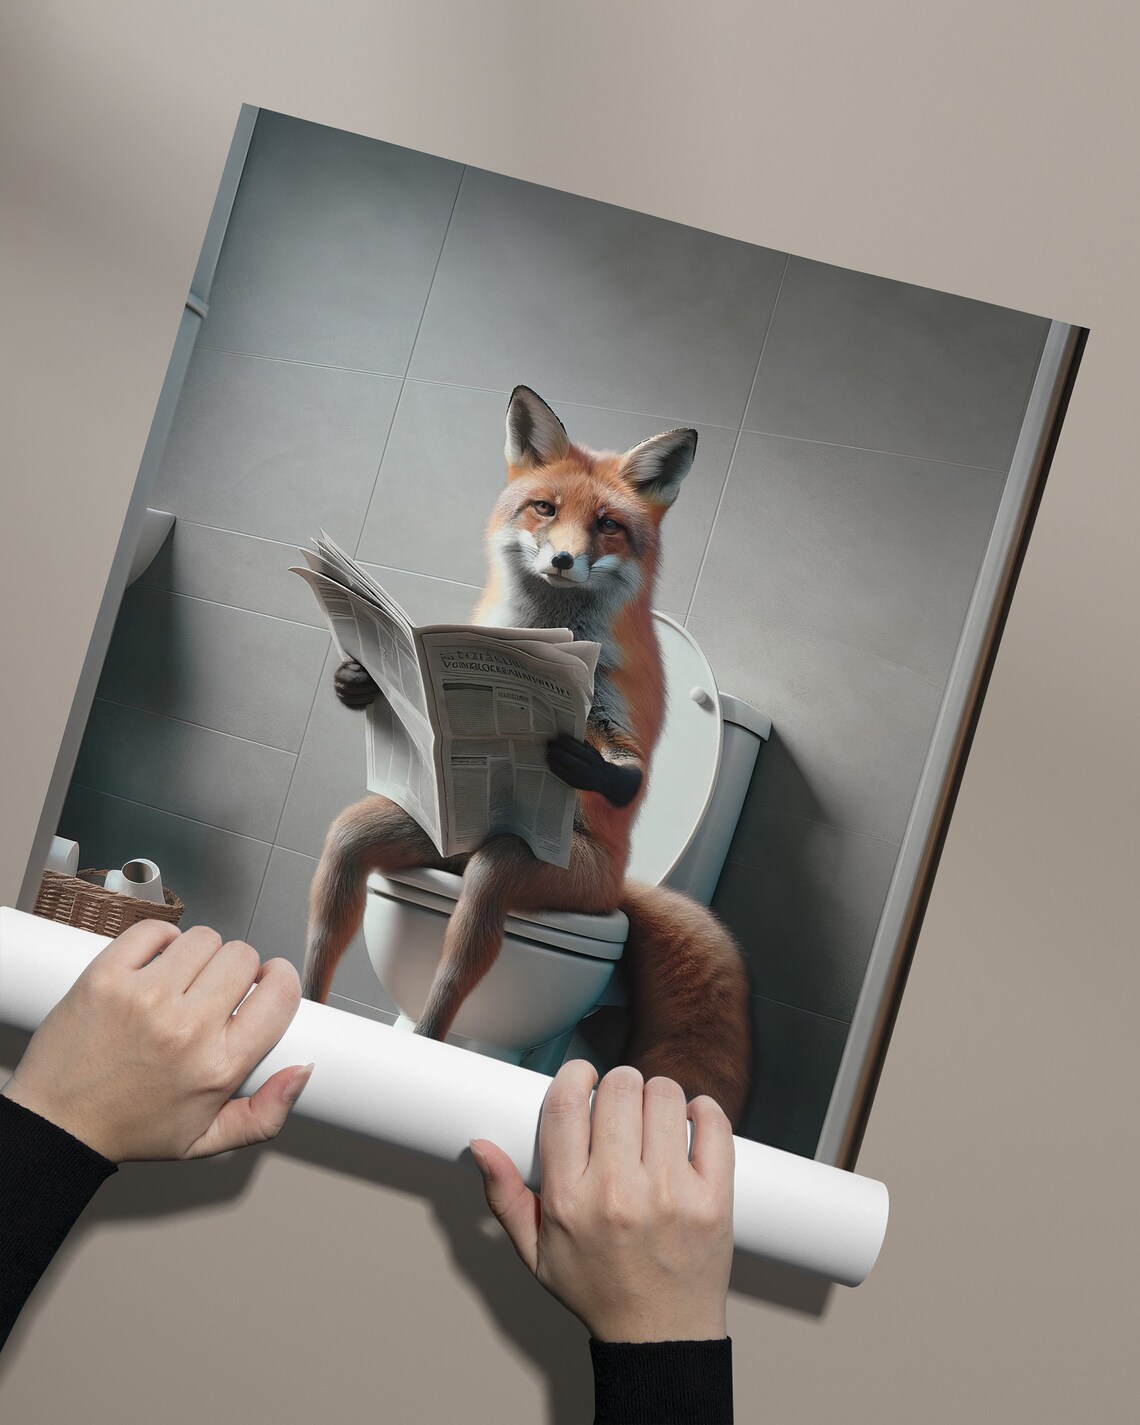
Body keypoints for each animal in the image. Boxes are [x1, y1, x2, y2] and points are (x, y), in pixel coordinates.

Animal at [302, 384, 752, 1125]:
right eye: (545, 508)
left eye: (607, 525)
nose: (563, 560)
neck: (548, 630)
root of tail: (623, 885)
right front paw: (358, 680)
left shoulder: (611, 706)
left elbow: (629, 773)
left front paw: (576, 760)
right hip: (422, 841)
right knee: (344, 854)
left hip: (538, 874)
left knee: (471, 933)